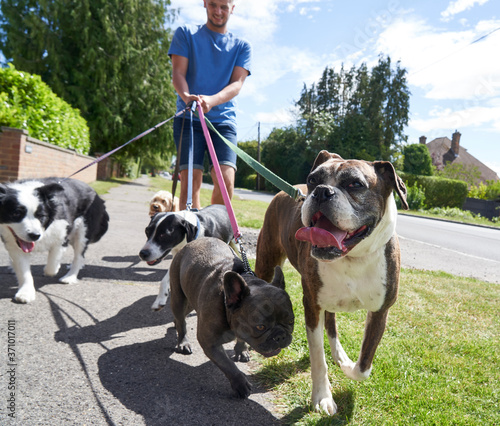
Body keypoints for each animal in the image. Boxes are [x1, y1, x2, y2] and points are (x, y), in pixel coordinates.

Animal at [256, 151, 408, 416]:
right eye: (313, 180)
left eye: (355, 184)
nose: (321, 192)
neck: (353, 257)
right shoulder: (312, 306)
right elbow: (318, 356)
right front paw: (322, 396)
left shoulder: (380, 312)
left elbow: (363, 366)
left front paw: (347, 367)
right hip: (266, 262)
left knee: (332, 324)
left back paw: (340, 356)